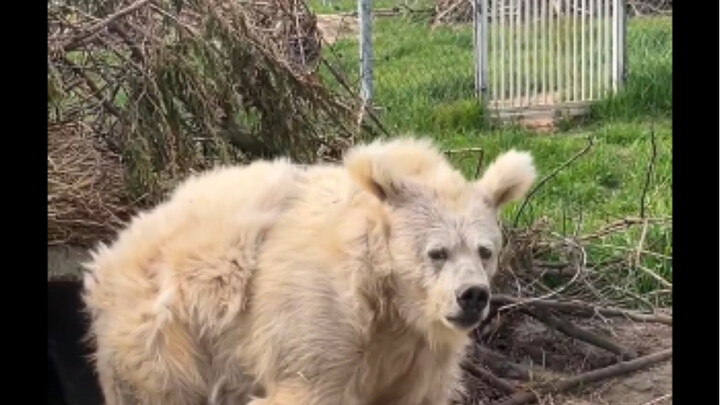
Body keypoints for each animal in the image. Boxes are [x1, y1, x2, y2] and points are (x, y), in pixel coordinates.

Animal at [81, 137, 536, 405]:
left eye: (485, 251)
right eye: (437, 252)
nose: (472, 296)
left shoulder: (415, 351)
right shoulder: (316, 315)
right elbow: (309, 383)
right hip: (164, 339)